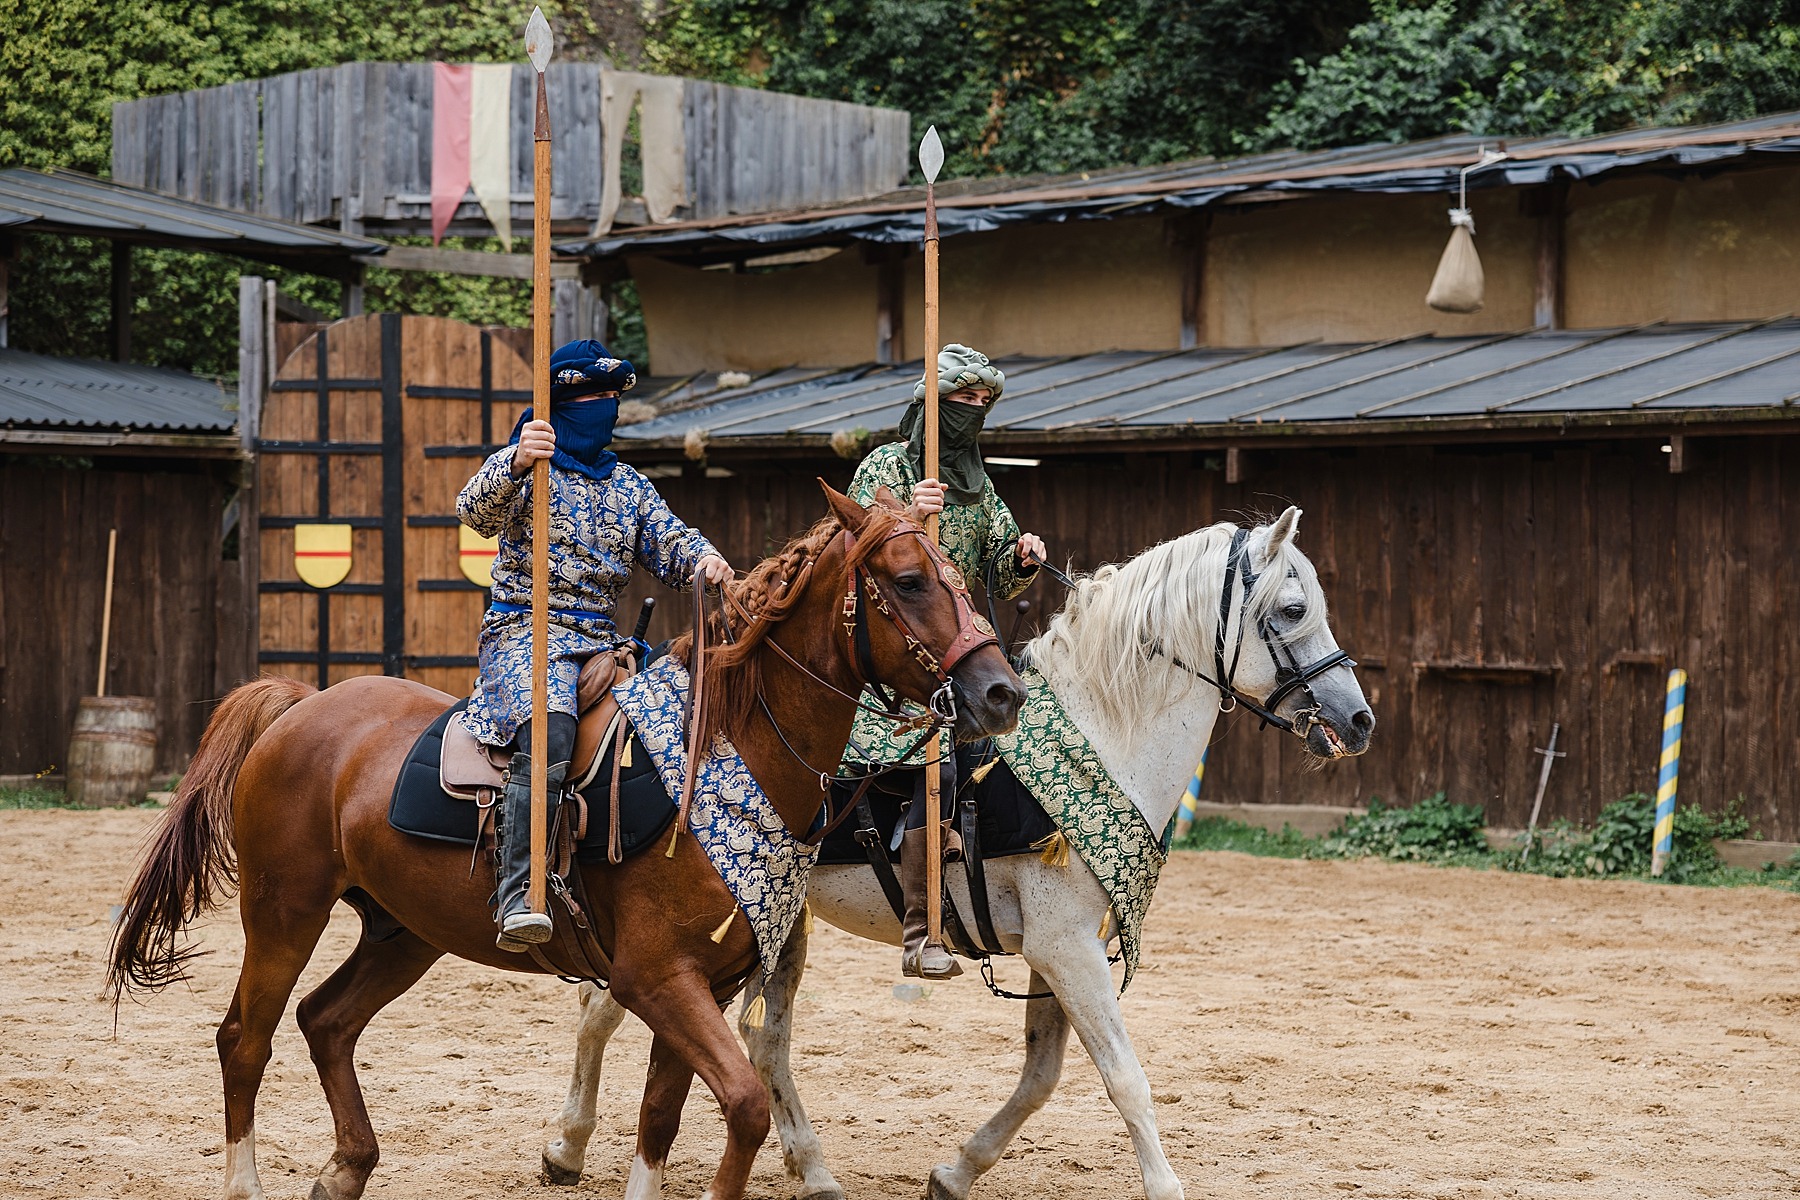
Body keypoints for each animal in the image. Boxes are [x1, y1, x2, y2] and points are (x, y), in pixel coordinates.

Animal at [108, 485, 1029, 1200]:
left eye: (962, 579)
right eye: (909, 581)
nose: (1001, 692)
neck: (727, 751)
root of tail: (300, 706)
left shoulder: (706, 984)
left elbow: (662, 1118)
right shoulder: (656, 978)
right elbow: (743, 1105)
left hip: (402, 933)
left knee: (325, 1021)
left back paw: (347, 1167)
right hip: (284, 914)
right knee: (244, 1039)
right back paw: (250, 1180)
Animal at [540, 510, 1368, 1200]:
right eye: (1292, 610)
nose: (1358, 719)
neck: (1103, 732)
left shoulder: (1054, 949)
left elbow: (1043, 1075)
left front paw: (956, 1170)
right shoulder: (1068, 947)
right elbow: (1125, 1078)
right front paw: (1163, 1188)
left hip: (777, 922)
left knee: (756, 1041)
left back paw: (809, 1166)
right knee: (607, 1007)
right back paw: (568, 1145)